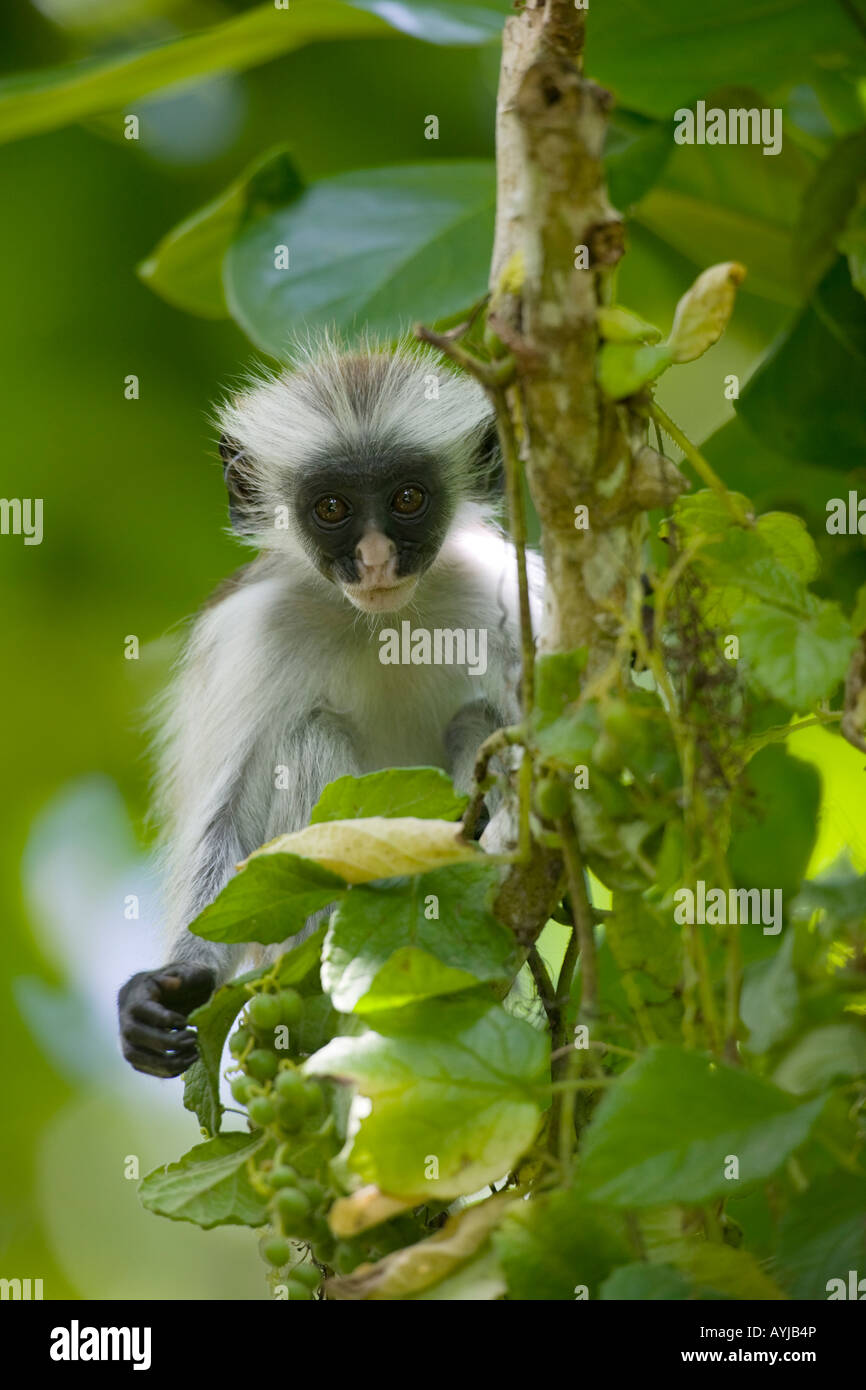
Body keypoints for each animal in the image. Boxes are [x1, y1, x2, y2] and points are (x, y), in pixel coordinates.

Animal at [118, 336, 542, 1073]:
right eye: (333, 509)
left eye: (407, 498)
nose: (375, 560)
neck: (383, 622)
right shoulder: (254, 631)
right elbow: (227, 832)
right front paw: (167, 988)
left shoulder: (506, 595)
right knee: (307, 739)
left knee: (476, 721)